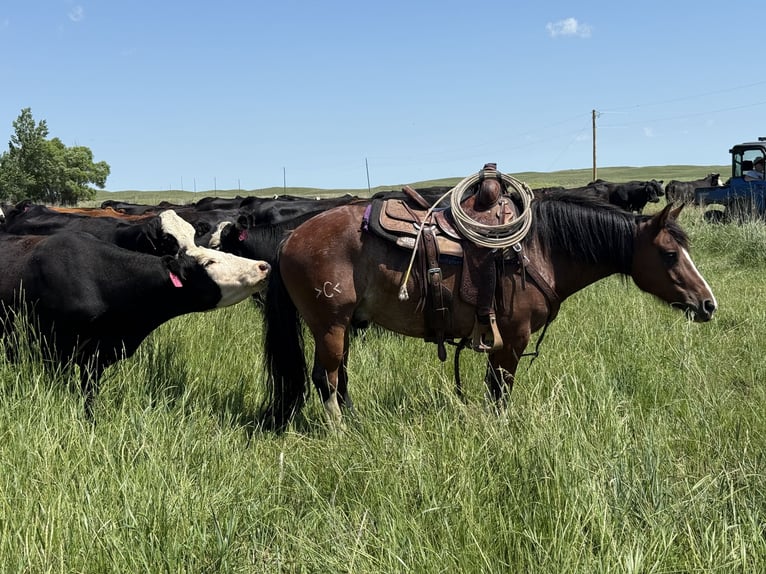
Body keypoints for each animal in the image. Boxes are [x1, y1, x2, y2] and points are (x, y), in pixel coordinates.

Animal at [260, 188, 717, 431]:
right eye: (670, 254)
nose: (708, 304)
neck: (538, 250)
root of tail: (290, 238)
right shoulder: (510, 341)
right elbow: (500, 391)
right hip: (330, 327)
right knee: (326, 379)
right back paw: (341, 432)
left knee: (340, 377)